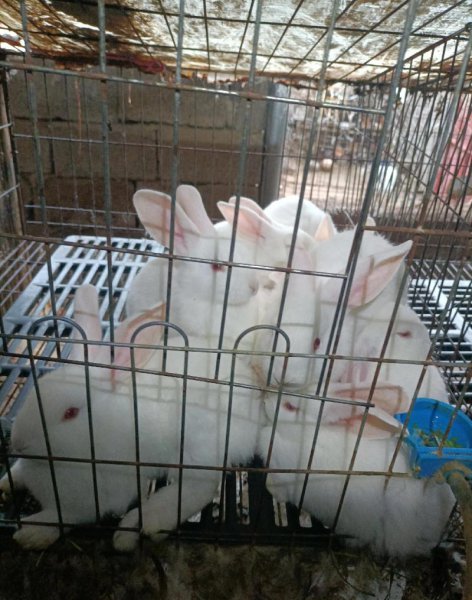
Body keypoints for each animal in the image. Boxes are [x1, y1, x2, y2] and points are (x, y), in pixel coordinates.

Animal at [0, 285, 265, 552]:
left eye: (70, 413)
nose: (19, 443)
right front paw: (5, 483)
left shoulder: (97, 497)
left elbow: (64, 516)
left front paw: (31, 534)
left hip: (197, 448)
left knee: (199, 488)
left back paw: (142, 525)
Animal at [258, 384, 455, 559]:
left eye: (290, 407)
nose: (266, 397)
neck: (308, 434)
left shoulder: (287, 477)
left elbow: (278, 489)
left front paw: (269, 488)